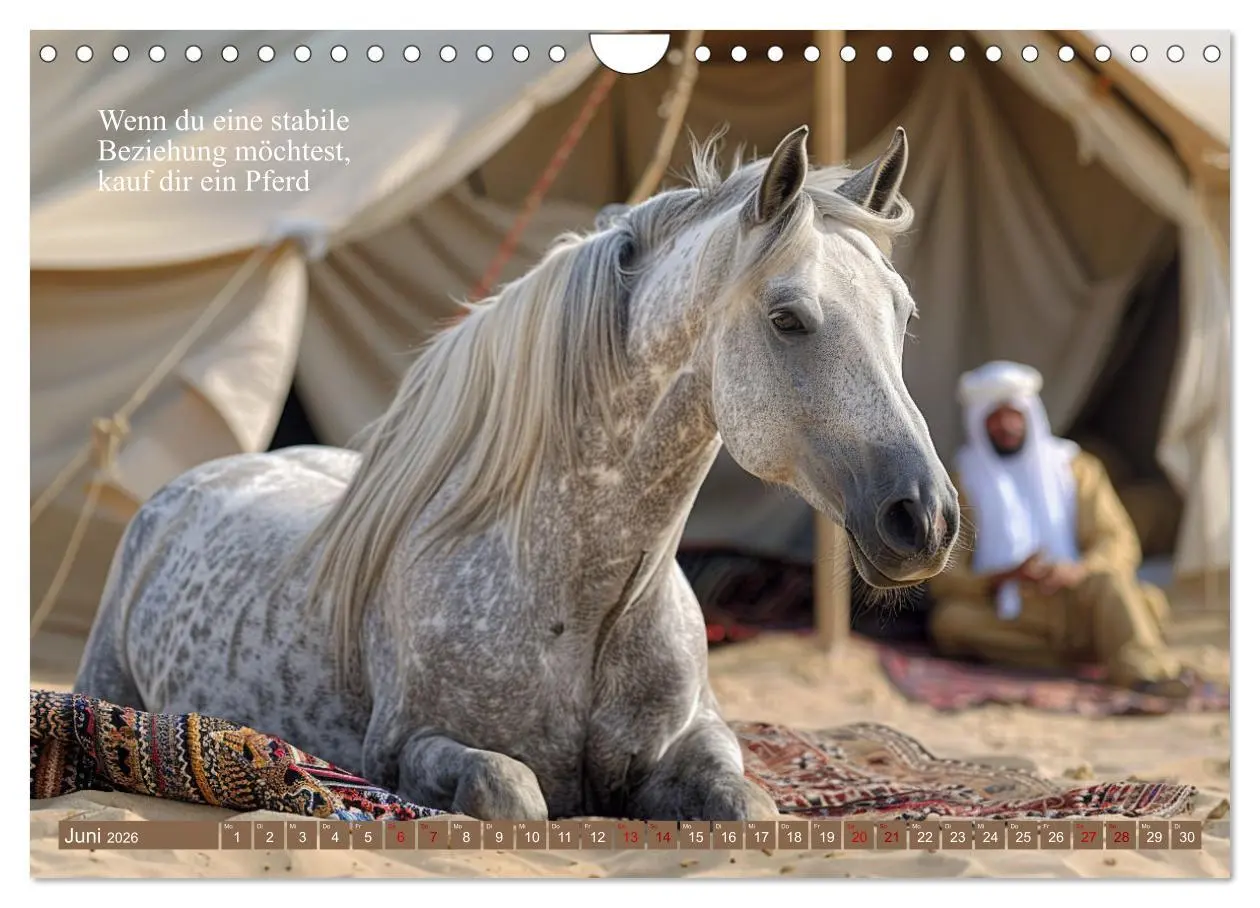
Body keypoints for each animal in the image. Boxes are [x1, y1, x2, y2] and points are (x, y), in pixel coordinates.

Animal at [76, 125, 960, 821]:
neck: (582, 604)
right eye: (787, 318)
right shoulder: (404, 751)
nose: (924, 517)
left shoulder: (700, 741)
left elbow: (751, 807)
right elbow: (512, 795)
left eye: (906, 315)